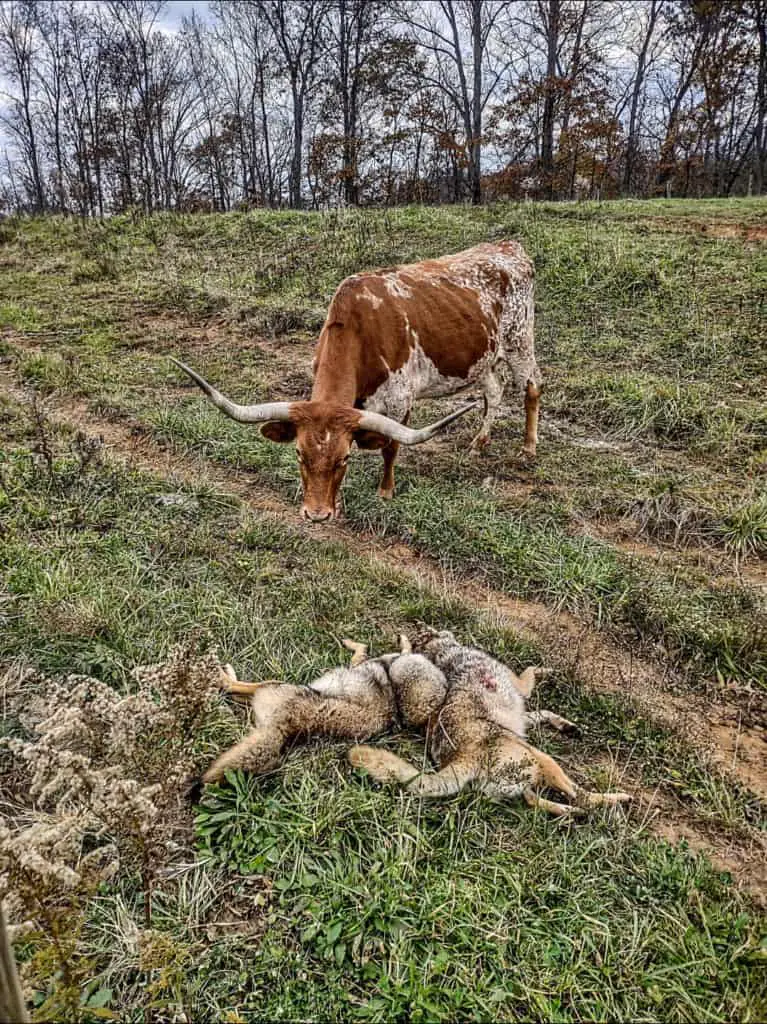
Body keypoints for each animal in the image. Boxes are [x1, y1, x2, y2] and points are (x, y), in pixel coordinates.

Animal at [175, 239, 536, 520]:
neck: (360, 329)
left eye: (344, 459)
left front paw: (386, 491)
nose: (317, 514)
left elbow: (391, 447)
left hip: (520, 342)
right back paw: (479, 443)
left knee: (532, 388)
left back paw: (528, 447)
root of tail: (510, 246)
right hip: (484, 357)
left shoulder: (400, 399)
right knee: (494, 392)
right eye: (299, 454)